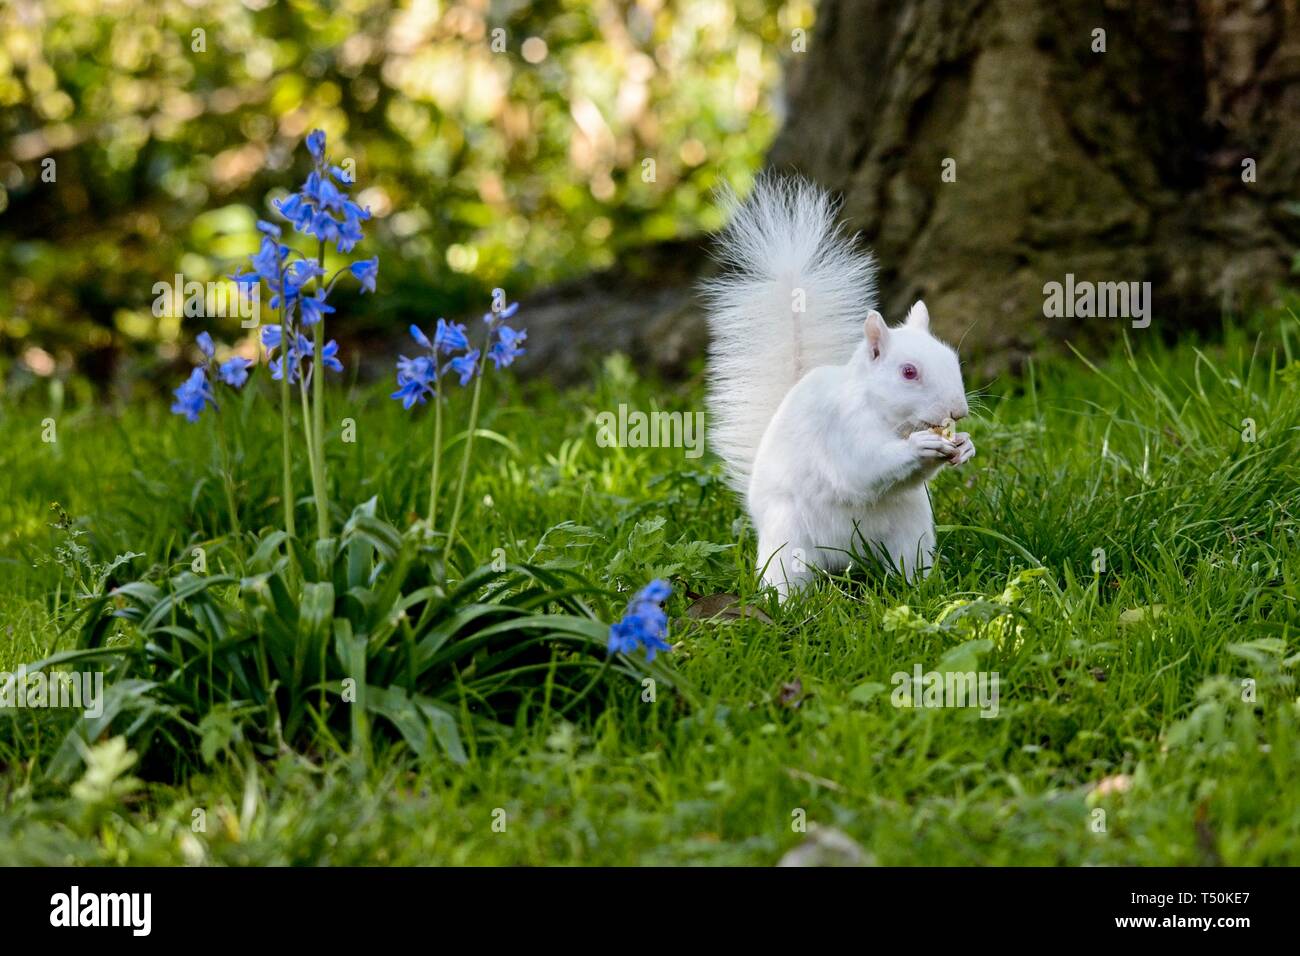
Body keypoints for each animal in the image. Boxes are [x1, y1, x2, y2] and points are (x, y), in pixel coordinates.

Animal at [702, 176, 977, 598]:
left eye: (952, 359)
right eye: (908, 372)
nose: (957, 411)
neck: (884, 416)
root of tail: (846, 559)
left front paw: (964, 446)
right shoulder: (838, 428)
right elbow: (862, 466)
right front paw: (921, 445)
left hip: (911, 531)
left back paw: (919, 590)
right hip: (789, 540)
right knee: (786, 578)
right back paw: (788, 603)